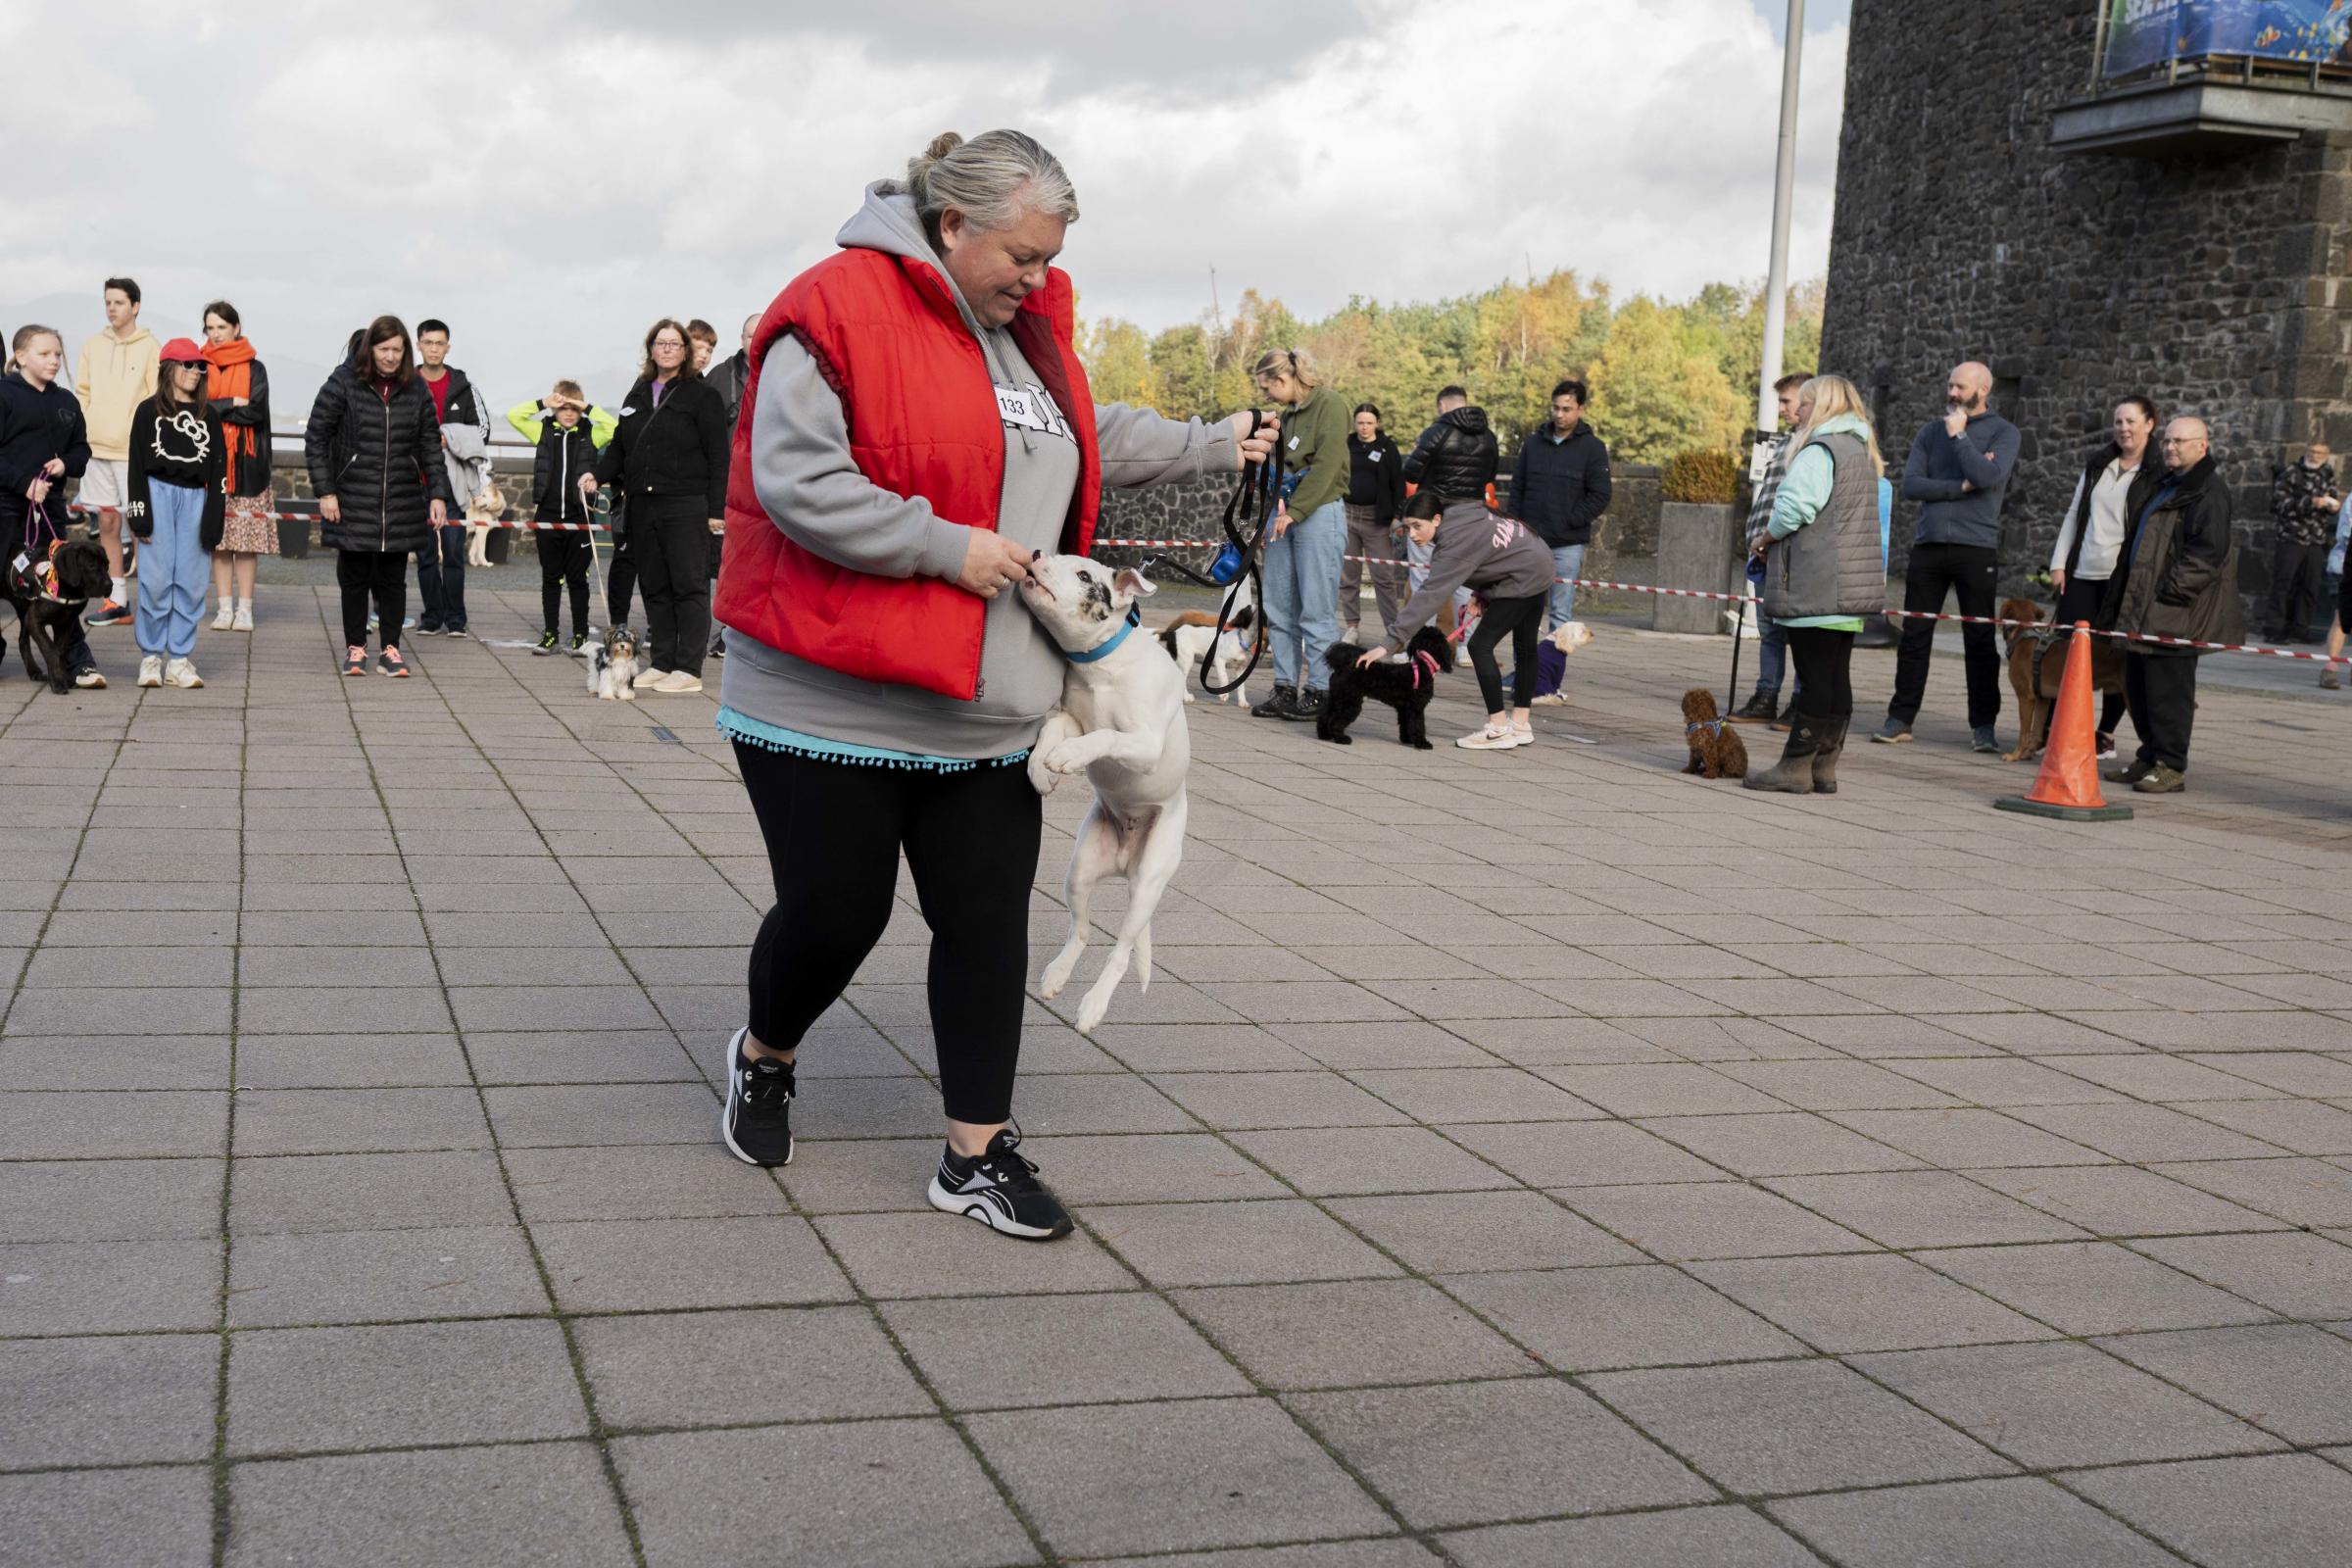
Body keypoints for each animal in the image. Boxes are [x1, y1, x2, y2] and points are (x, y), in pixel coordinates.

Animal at [6, 540, 109, 691]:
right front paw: (58, 682)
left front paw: (60, 678)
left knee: (22, 641)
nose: (110, 585)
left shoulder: (64, 624)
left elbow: (59, 652)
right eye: (91, 565)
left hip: (24, 613)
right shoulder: (34, 620)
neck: (68, 590)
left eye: (107, 565)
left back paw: (34, 671)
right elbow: (50, 650)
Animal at [1015, 557, 1185, 1034]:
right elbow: (1052, 728)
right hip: (1079, 870)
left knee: (1121, 951)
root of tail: (1126, 864)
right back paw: (1057, 975)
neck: (1103, 664)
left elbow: (1107, 735)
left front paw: (1068, 758)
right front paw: (1041, 769)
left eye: (1085, 576)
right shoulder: (1074, 718)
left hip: (1147, 885)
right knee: (1082, 929)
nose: (1036, 555)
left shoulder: (1145, 745)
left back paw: (1093, 1005)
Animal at [1317, 625, 1458, 747]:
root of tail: (1342, 666)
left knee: (1324, 716)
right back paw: (1341, 739)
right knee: (1336, 721)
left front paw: (1407, 740)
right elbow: (1418, 725)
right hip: (1350, 702)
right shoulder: (1416, 707)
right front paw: (1422, 743)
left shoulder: (1404, 708)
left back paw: (1324, 735)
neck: (1424, 666)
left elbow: (1406, 724)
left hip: (1336, 697)